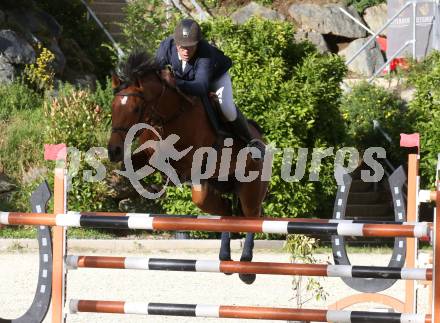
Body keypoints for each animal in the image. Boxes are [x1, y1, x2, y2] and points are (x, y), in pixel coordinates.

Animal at [108, 51, 270, 286]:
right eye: (112, 107)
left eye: (136, 108)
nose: (114, 151)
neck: (169, 116)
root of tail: (261, 138)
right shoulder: (147, 154)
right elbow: (134, 166)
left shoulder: (189, 162)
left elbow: (167, 164)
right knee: (226, 213)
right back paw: (225, 259)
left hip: (250, 189)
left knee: (252, 218)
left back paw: (246, 268)